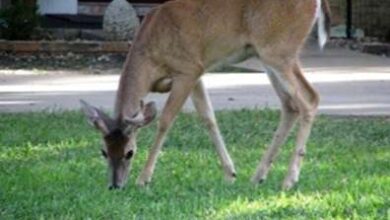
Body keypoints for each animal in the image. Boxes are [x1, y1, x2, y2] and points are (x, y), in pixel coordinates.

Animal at [80, 0, 330, 190]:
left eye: (130, 152)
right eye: (103, 151)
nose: (115, 185)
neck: (150, 56)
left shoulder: (188, 69)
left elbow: (165, 121)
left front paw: (144, 179)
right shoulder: (197, 73)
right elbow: (208, 117)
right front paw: (230, 174)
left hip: (278, 50)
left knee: (309, 98)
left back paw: (289, 180)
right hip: (267, 55)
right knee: (290, 105)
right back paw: (258, 176)